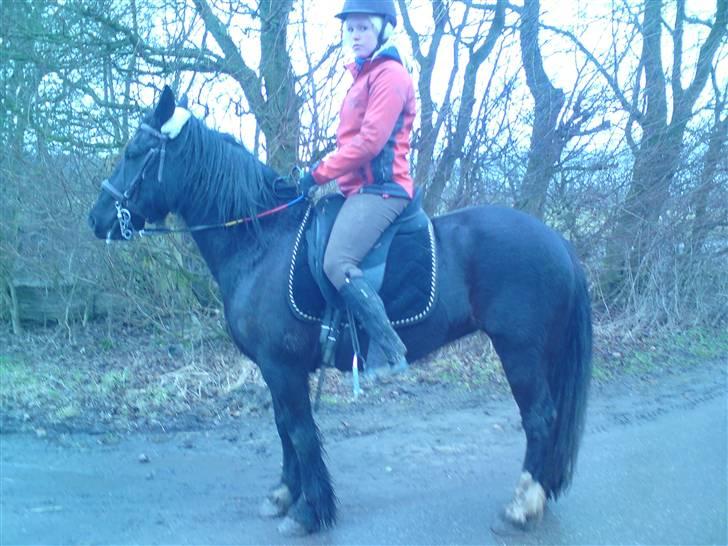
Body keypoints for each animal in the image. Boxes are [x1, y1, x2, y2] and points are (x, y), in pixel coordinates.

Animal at [88, 86, 592, 536]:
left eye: (134, 152)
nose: (97, 219)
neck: (261, 242)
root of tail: (558, 241)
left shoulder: (283, 367)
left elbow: (300, 431)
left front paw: (310, 512)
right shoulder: (276, 370)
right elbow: (283, 428)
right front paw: (284, 495)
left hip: (519, 350)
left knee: (539, 418)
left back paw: (521, 507)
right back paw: (539, 495)